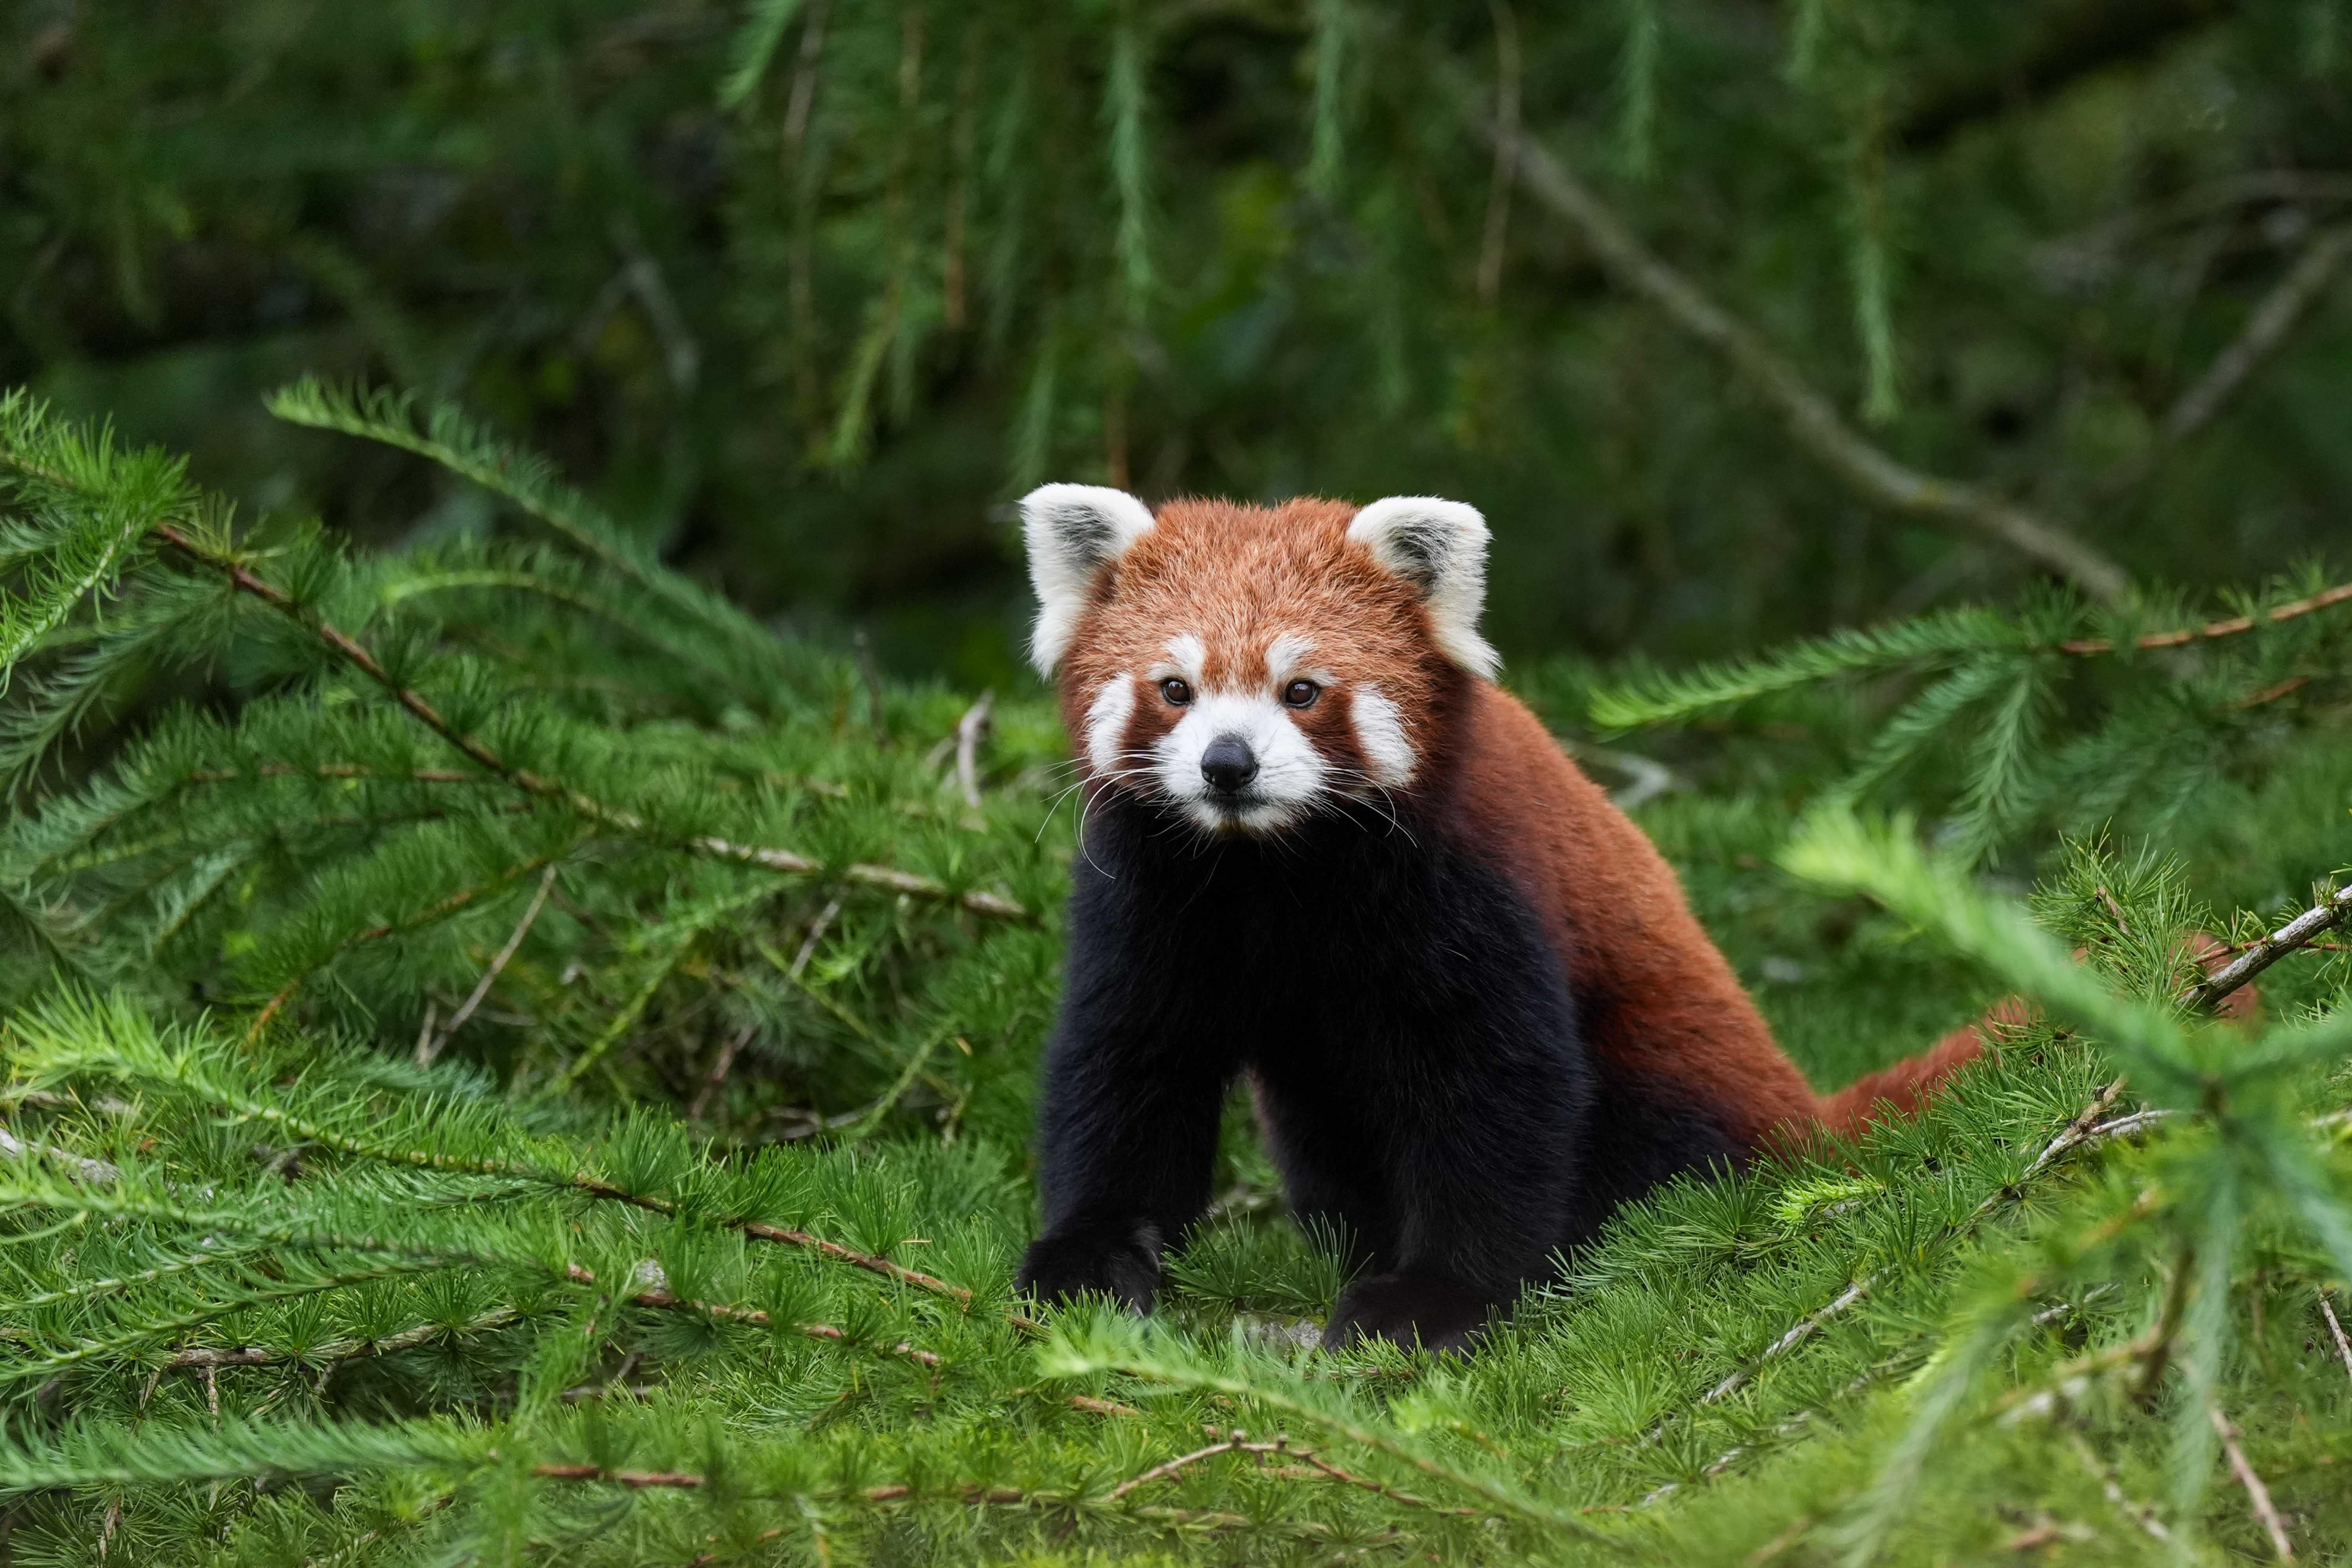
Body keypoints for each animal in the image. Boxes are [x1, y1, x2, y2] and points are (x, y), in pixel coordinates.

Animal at [1011, 486, 2004, 1354]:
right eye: (1175, 688)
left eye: (1302, 690)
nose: (1227, 763)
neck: (1270, 868)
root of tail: (1799, 1119)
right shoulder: (1148, 895)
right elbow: (1130, 1060)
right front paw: (1090, 1257)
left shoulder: (1468, 887)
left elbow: (1493, 1089)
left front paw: (1434, 1298)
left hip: (1673, 1072)